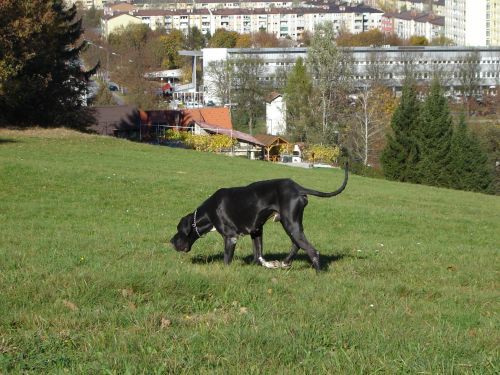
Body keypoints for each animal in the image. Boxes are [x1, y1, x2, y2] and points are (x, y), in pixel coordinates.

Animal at [171, 164, 348, 270]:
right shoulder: (256, 230)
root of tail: (298, 188)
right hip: (291, 224)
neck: (209, 211)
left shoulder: (230, 237)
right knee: (296, 245)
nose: (171, 242)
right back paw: (285, 262)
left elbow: (227, 259)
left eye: (179, 230)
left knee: (312, 250)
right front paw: (263, 265)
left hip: (290, 223)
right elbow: (258, 254)